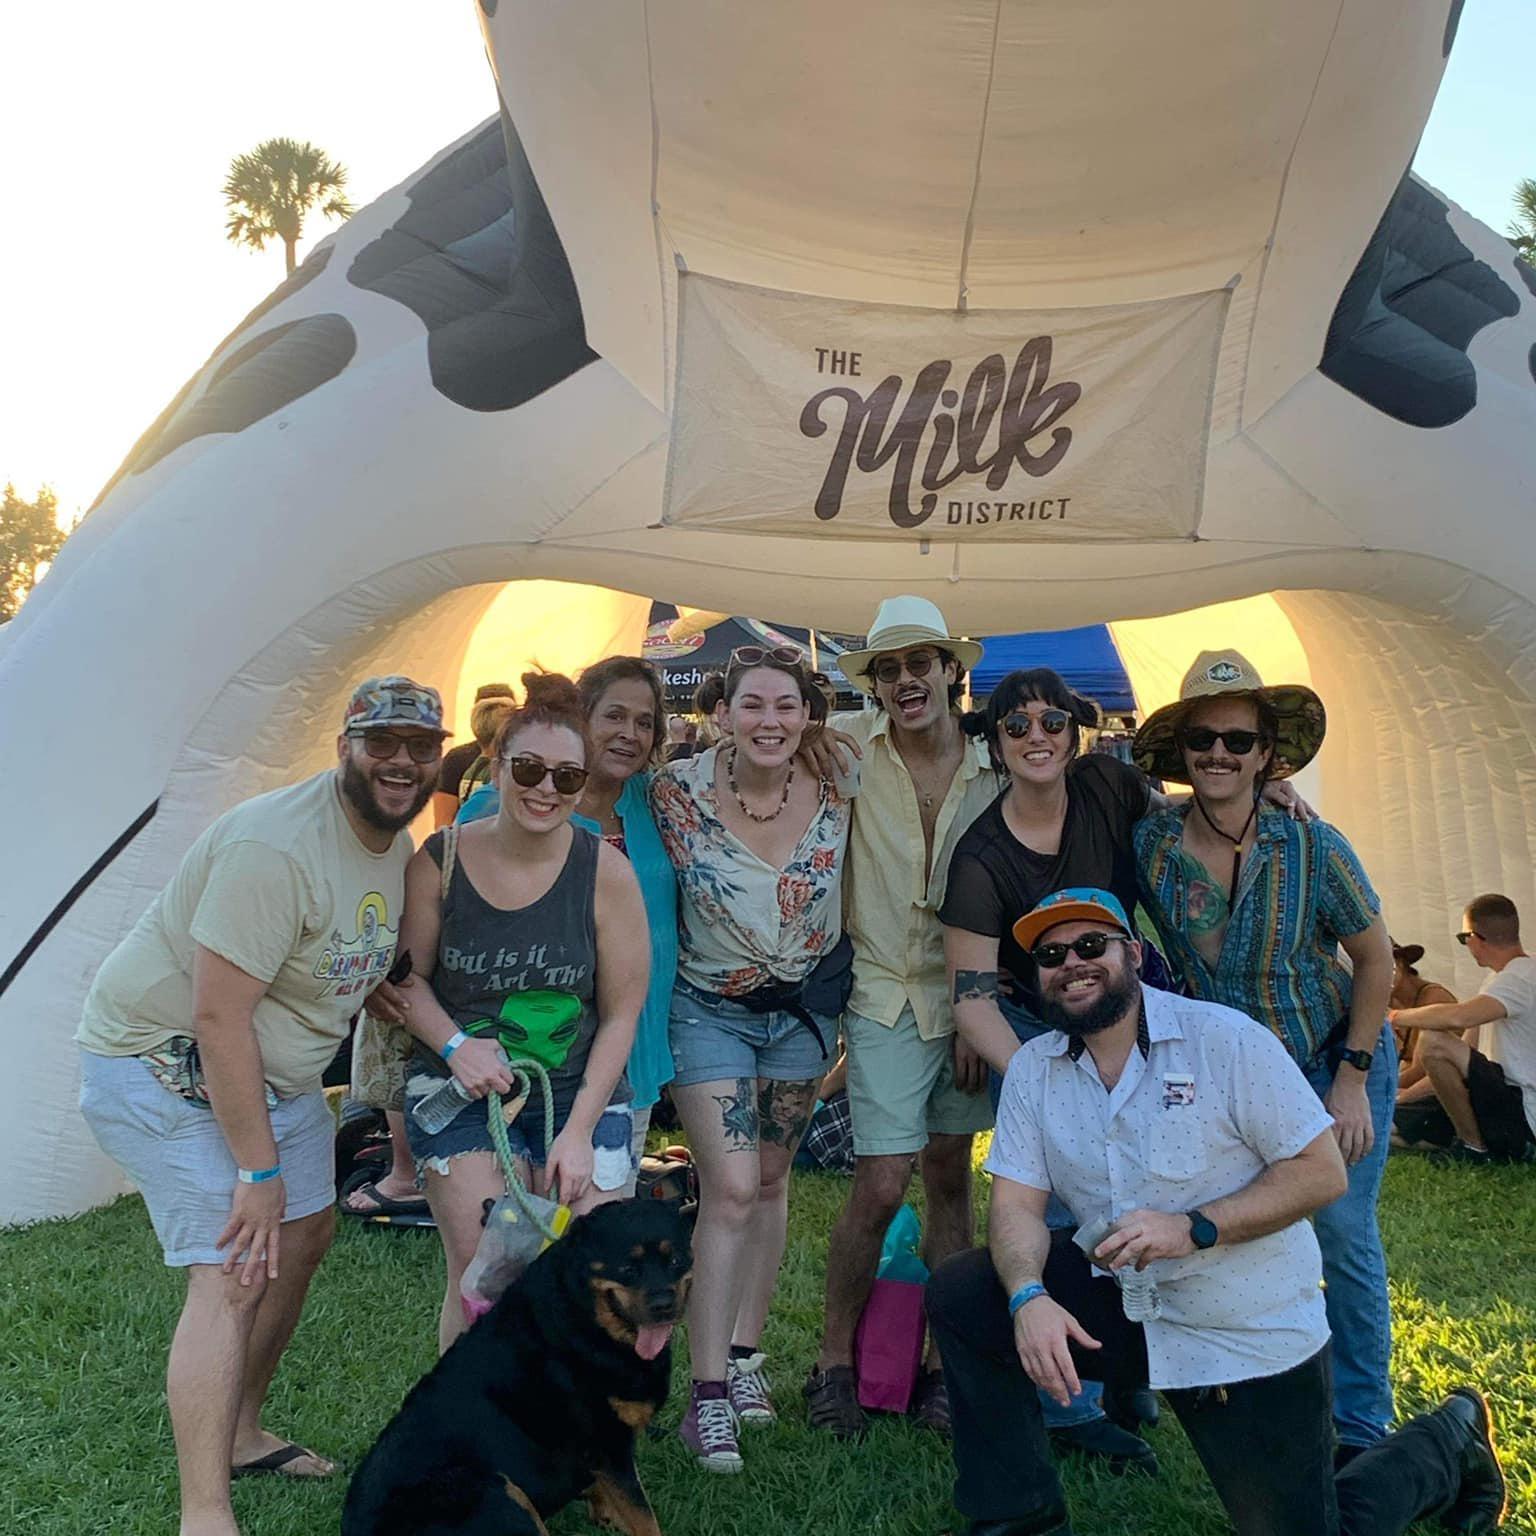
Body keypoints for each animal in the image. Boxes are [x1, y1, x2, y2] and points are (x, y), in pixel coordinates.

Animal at [343, 1198, 693, 1536]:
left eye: (676, 1261)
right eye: (628, 1268)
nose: (664, 1305)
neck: (586, 1319)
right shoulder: (609, 1446)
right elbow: (644, 1518)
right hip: (496, 1491)